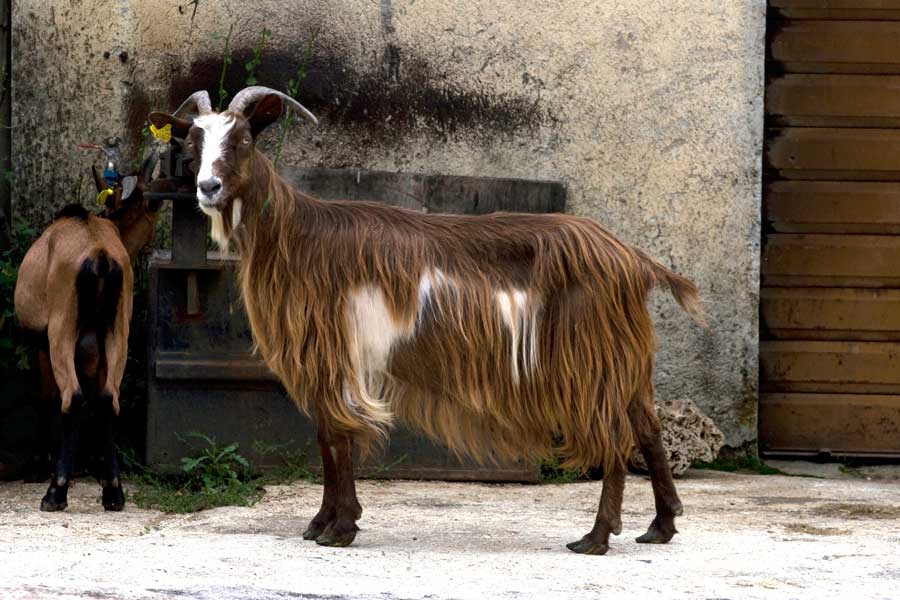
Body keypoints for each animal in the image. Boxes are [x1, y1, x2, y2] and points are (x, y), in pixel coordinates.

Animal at [14, 168, 158, 511]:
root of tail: (101, 257)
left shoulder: (41, 341)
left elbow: (47, 397)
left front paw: (39, 466)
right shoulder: (96, 350)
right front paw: (95, 466)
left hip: (62, 329)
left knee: (72, 396)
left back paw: (56, 491)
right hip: (118, 330)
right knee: (109, 397)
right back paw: (114, 491)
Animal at [149, 87, 703, 554]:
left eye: (242, 139)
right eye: (194, 141)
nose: (208, 187)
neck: (297, 235)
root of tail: (632, 259)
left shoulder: (336, 353)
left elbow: (339, 436)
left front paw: (340, 527)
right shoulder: (330, 359)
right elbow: (327, 439)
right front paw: (322, 523)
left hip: (587, 358)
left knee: (614, 434)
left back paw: (596, 537)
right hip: (624, 357)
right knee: (648, 428)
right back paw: (660, 527)